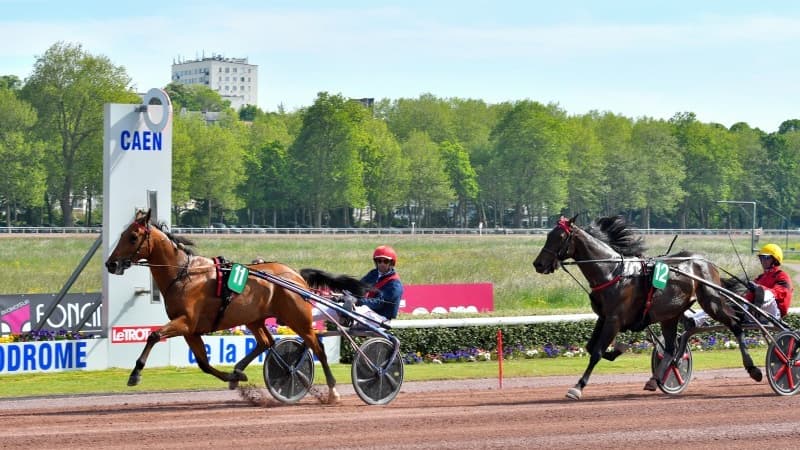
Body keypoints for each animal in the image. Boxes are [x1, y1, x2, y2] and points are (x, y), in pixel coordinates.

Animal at [104, 211, 364, 404]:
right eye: (123, 233)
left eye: (133, 236)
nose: (110, 264)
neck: (183, 274)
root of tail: (295, 275)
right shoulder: (191, 330)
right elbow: (204, 364)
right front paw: (233, 376)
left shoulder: (185, 322)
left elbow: (154, 335)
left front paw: (135, 373)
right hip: (254, 318)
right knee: (266, 342)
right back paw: (241, 370)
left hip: (297, 318)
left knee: (317, 346)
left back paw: (332, 391)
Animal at [536, 216, 760, 400]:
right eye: (548, 235)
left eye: (560, 236)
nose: (538, 264)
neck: (612, 271)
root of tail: (705, 260)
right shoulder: (603, 317)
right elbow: (591, 347)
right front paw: (617, 350)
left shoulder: (614, 319)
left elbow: (597, 352)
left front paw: (578, 387)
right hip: (670, 314)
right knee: (672, 346)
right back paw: (657, 378)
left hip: (711, 301)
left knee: (735, 324)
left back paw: (754, 369)